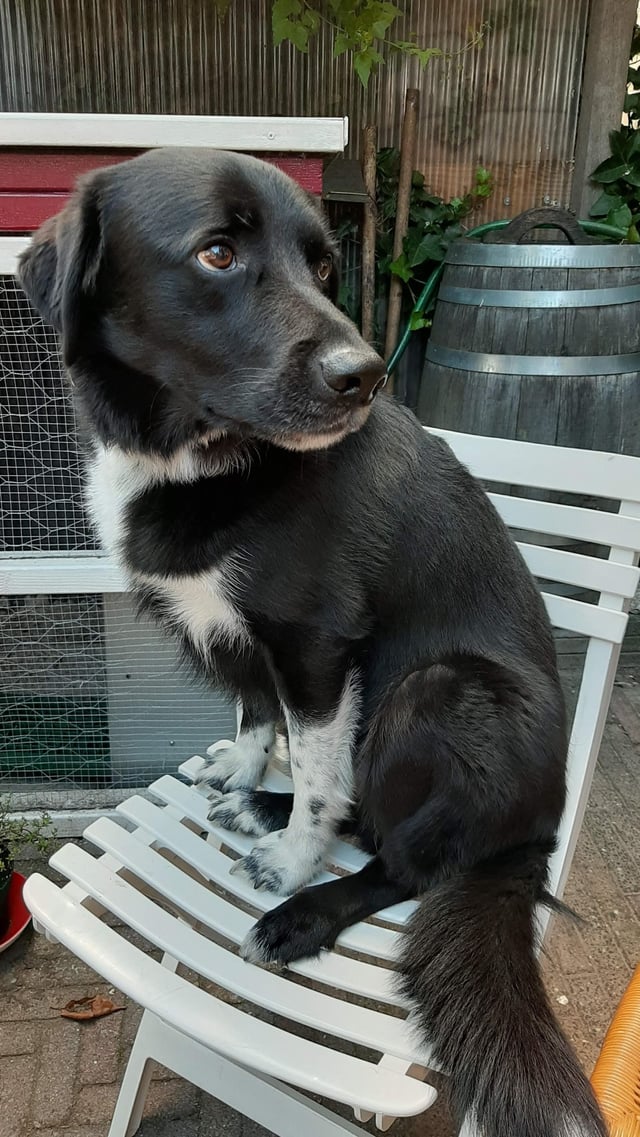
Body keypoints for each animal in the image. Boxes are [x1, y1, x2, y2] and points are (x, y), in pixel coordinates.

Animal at [20, 151, 609, 1137]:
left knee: (405, 858)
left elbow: (324, 775)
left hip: (435, 691)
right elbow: (258, 720)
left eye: (324, 267)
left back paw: (309, 907)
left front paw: (294, 861)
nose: (363, 376)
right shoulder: (241, 642)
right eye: (217, 253)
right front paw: (246, 779)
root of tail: (535, 828)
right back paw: (261, 807)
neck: (202, 457)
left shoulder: (317, 648)